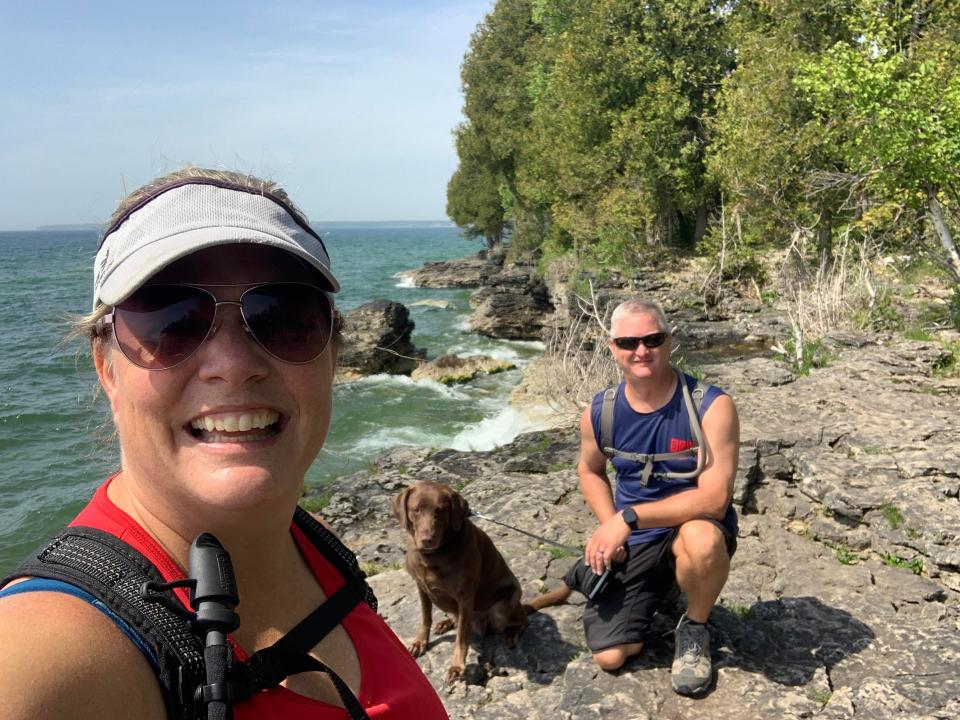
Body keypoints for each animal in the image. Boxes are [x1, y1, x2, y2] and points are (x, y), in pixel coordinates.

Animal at [396, 480, 532, 684]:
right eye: (416, 510)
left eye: (440, 510)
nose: (427, 540)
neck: (433, 556)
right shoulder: (421, 586)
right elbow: (426, 617)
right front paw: (420, 642)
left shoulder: (465, 595)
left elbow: (461, 635)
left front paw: (457, 667)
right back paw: (446, 623)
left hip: (505, 604)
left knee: (521, 620)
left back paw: (512, 633)